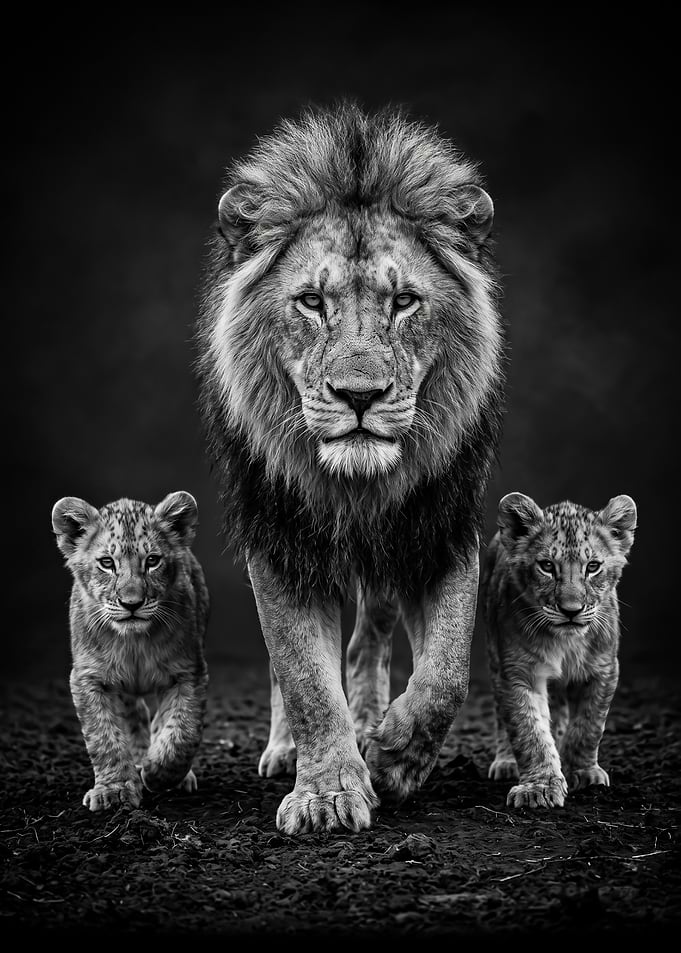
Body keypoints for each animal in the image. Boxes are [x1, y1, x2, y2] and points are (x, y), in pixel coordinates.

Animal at [195, 102, 506, 835]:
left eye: (404, 301)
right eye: (312, 301)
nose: (358, 396)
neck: (355, 485)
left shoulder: (440, 530)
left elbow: (446, 674)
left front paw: (392, 759)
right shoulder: (279, 539)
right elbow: (304, 676)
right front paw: (327, 790)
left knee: (370, 636)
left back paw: (368, 722)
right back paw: (289, 749)